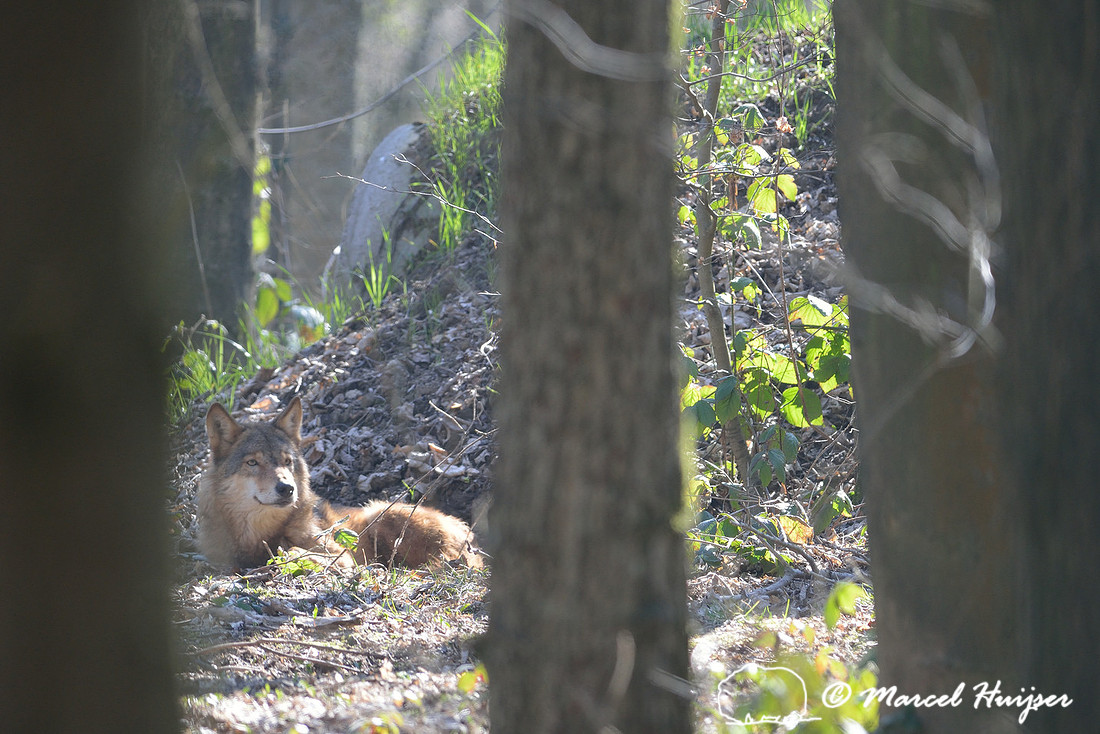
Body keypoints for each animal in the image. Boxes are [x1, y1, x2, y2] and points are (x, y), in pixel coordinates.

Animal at [196, 397, 481, 570]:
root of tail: (467, 530)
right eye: (253, 463)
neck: (258, 536)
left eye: (287, 461)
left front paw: (285, 553)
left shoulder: (340, 555)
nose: (287, 489)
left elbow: (301, 552)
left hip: (380, 513)